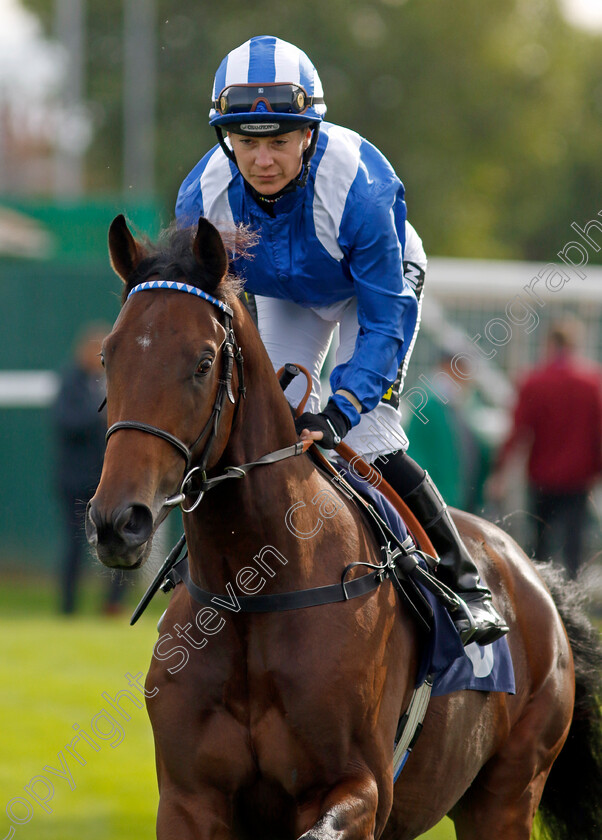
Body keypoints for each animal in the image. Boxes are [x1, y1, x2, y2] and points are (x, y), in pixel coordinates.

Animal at [85, 213, 600, 836]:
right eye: (108, 357)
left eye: (203, 362)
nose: (119, 521)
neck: (255, 592)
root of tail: (535, 576)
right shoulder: (189, 799)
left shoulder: (360, 788)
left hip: (507, 793)